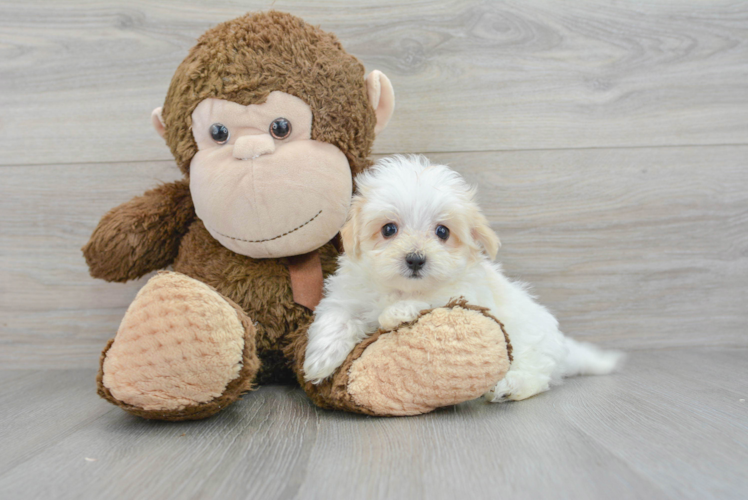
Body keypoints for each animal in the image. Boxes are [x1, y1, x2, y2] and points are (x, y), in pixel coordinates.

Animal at [300, 154, 624, 400]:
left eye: (442, 232)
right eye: (389, 229)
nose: (415, 259)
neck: (401, 289)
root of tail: (563, 348)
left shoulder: (463, 292)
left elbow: (433, 299)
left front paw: (397, 313)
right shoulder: (347, 294)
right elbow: (337, 317)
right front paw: (319, 361)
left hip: (530, 345)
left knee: (537, 375)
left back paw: (510, 386)